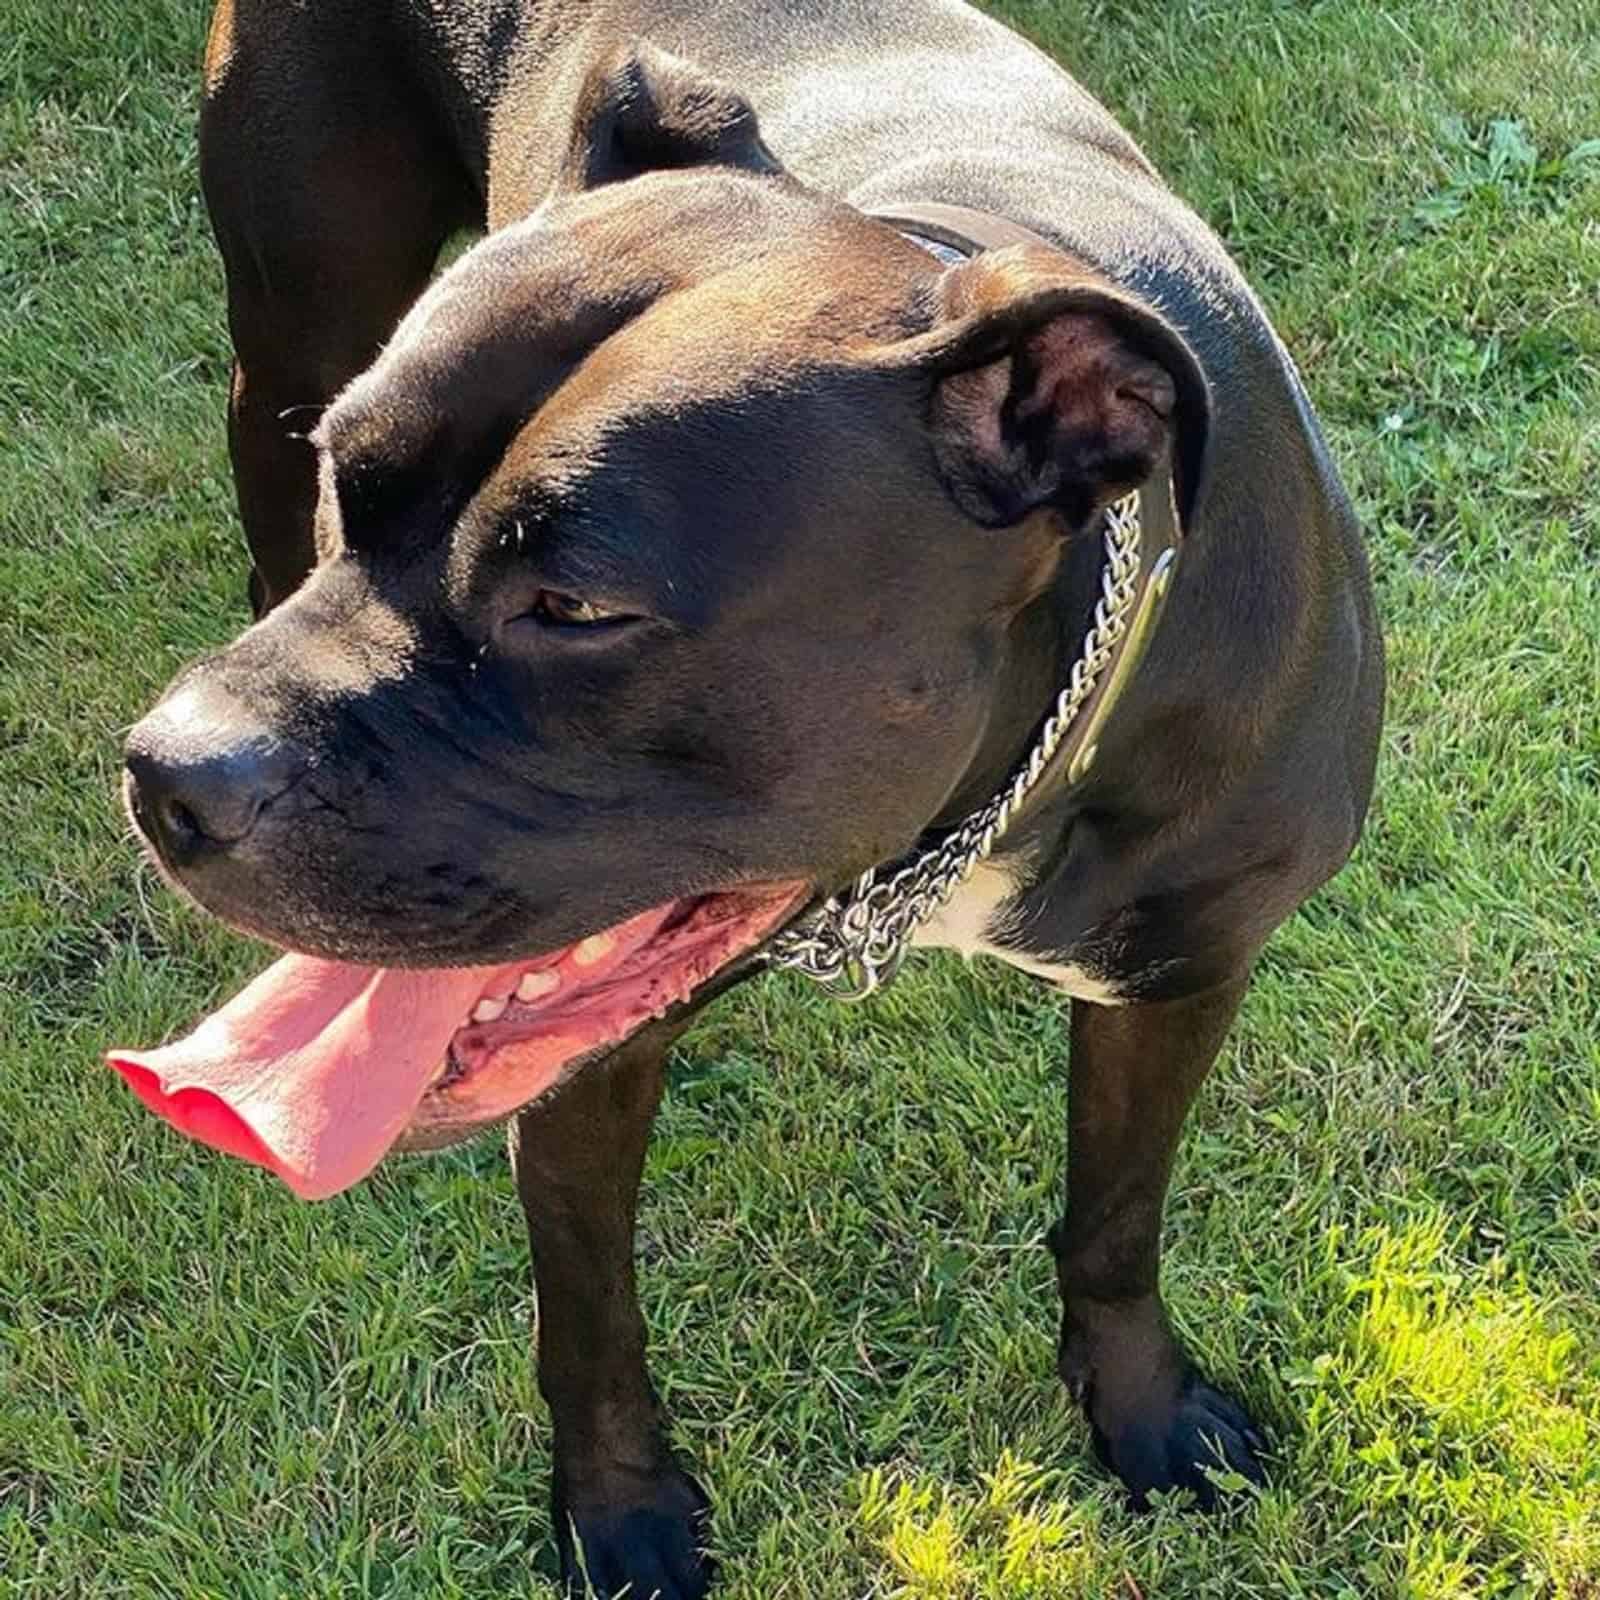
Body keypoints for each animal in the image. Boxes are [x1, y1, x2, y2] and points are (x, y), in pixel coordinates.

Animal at [112, 6, 1388, 1593]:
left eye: (576, 605)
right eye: (351, 476)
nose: (166, 770)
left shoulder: (1181, 975)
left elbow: (1118, 1216)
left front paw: (1143, 1408)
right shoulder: (584, 1060)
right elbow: (588, 1319)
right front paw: (622, 1515)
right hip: (289, 314)